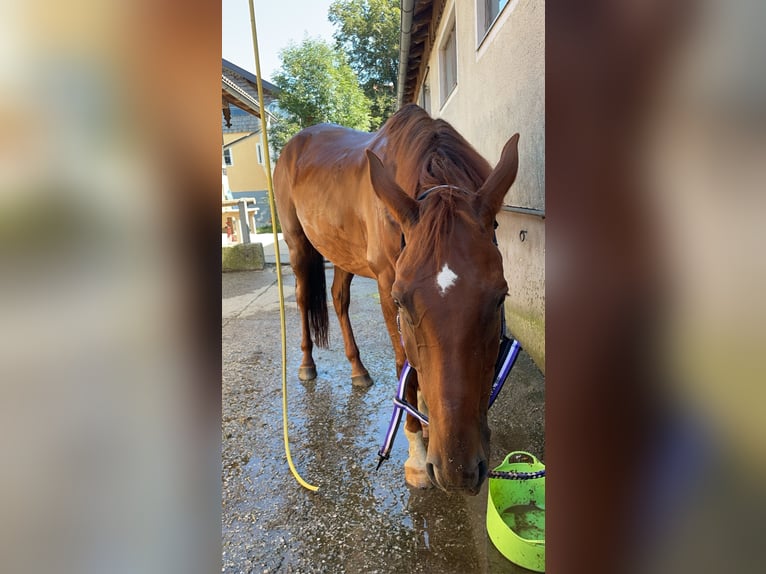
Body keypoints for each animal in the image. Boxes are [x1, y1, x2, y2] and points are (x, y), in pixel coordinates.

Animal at [272, 106, 520, 498]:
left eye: (500, 298)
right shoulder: (387, 282)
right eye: (402, 302)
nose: (457, 469)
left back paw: (358, 370)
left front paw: (428, 419)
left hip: (344, 256)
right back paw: (307, 364)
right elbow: (407, 365)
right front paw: (417, 454)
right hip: (297, 245)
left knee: (339, 299)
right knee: (301, 299)